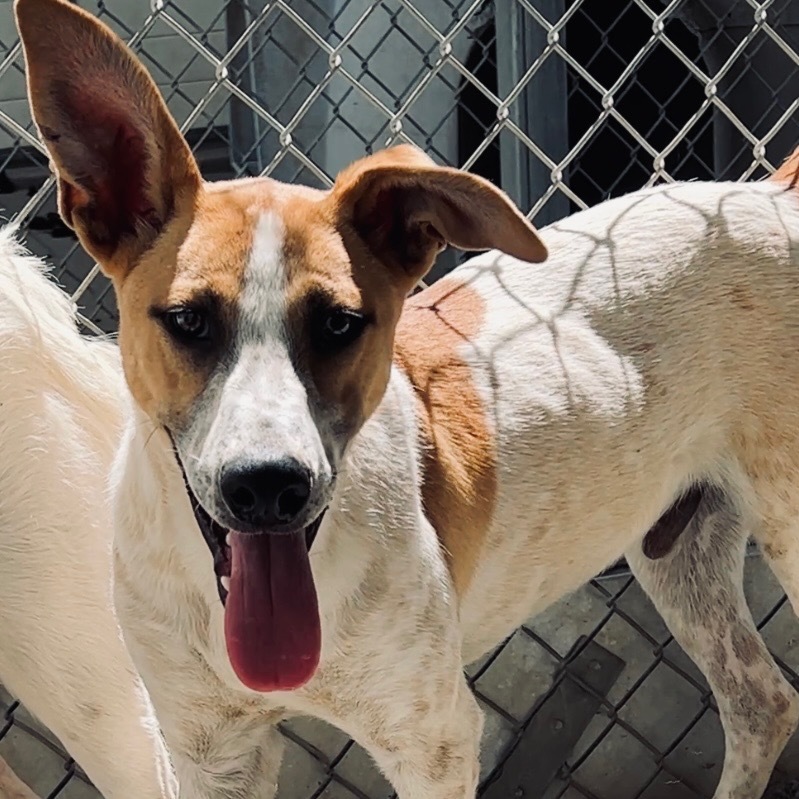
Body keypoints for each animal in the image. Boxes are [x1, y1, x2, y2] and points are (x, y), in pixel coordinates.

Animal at [9, 1, 799, 799]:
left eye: (338, 323)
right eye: (188, 321)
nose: (267, 487)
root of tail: (773, 193)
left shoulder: (433, 742)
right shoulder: (212, 755)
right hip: (681, 548)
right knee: (761, 700)